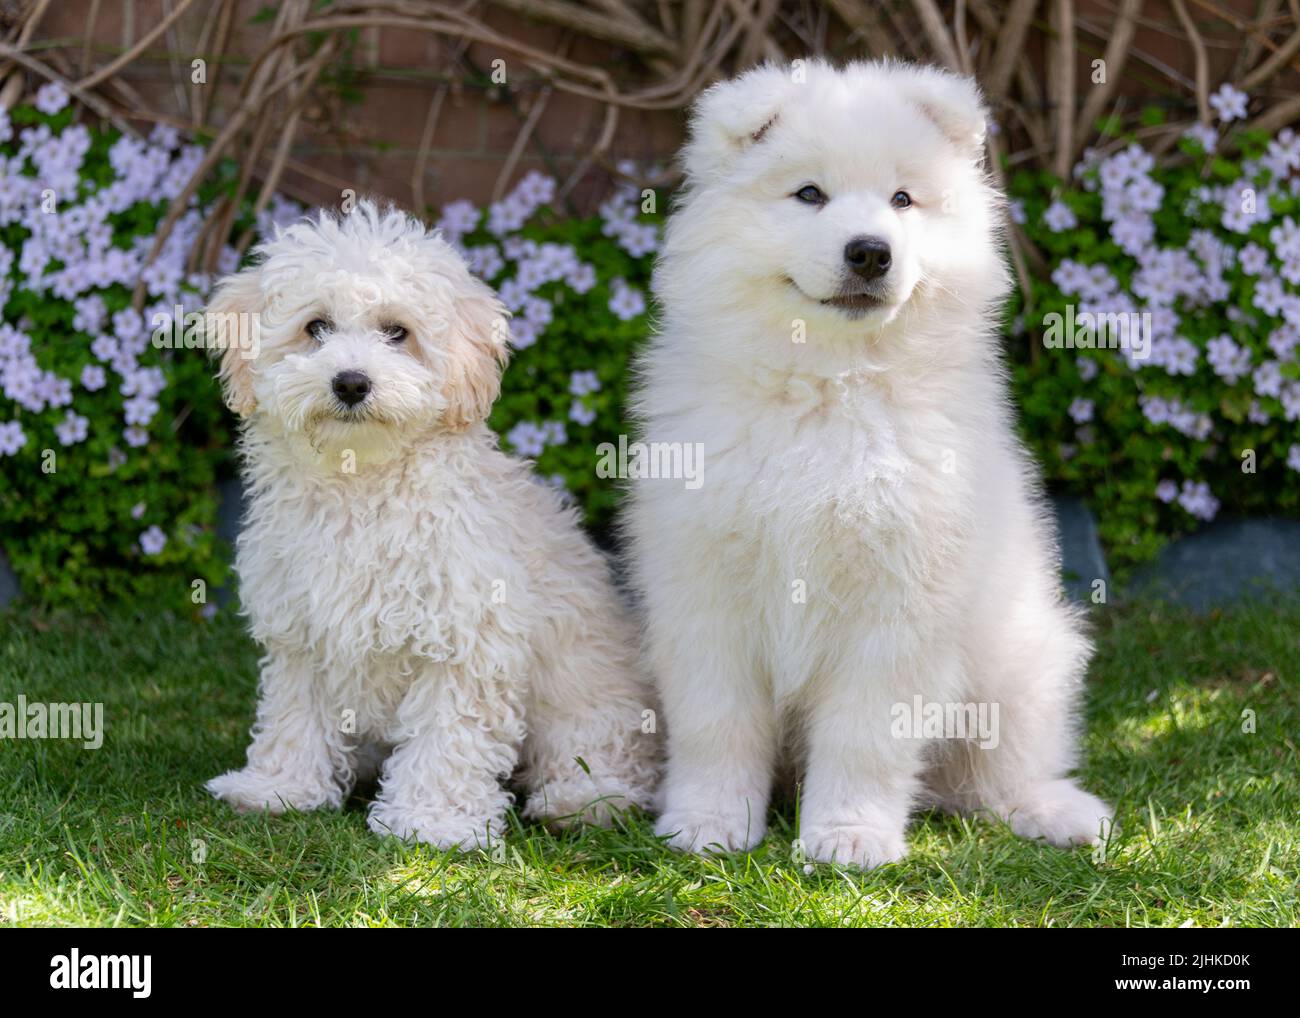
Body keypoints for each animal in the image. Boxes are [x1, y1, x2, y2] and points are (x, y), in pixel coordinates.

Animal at [204, 201, 660, 852]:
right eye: (316, 327)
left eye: (397, 332)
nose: (350, 382)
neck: (362, 482)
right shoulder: (303, 630)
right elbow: (295, 712)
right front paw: (279, 788)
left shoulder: (466, 637)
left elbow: (450, 734)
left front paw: (433, 821)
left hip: (591, 698)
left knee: (606, 753)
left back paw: (583, 801)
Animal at [624, 59, 1112, 868]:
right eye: (809, 194)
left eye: (903, 200)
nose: (870, 252)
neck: (830, 385)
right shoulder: (707, 592)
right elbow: (717, 724)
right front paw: (708, 823)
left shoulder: (900, 604)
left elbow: (866, 735)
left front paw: (847, 837)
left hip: (1021, 661)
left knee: (1002, 769)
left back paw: (1056, 812)